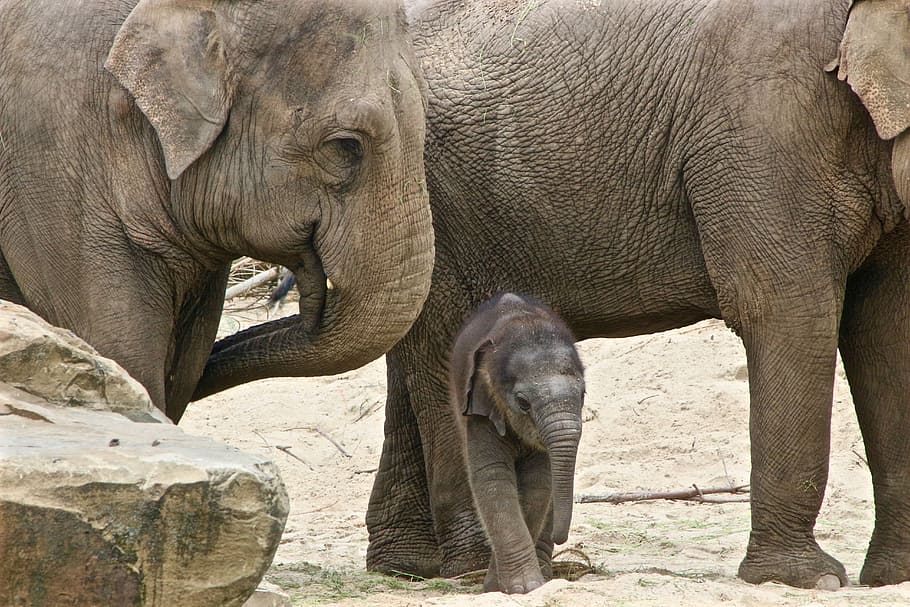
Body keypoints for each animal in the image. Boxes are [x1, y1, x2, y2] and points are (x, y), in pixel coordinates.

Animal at [449, 292, 585, 594]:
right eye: (523, 403)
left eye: (583, 394)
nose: (561, 538)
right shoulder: (480, 410)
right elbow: (493, 478)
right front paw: (518, 588)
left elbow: (537, 484)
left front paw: (511, 587)